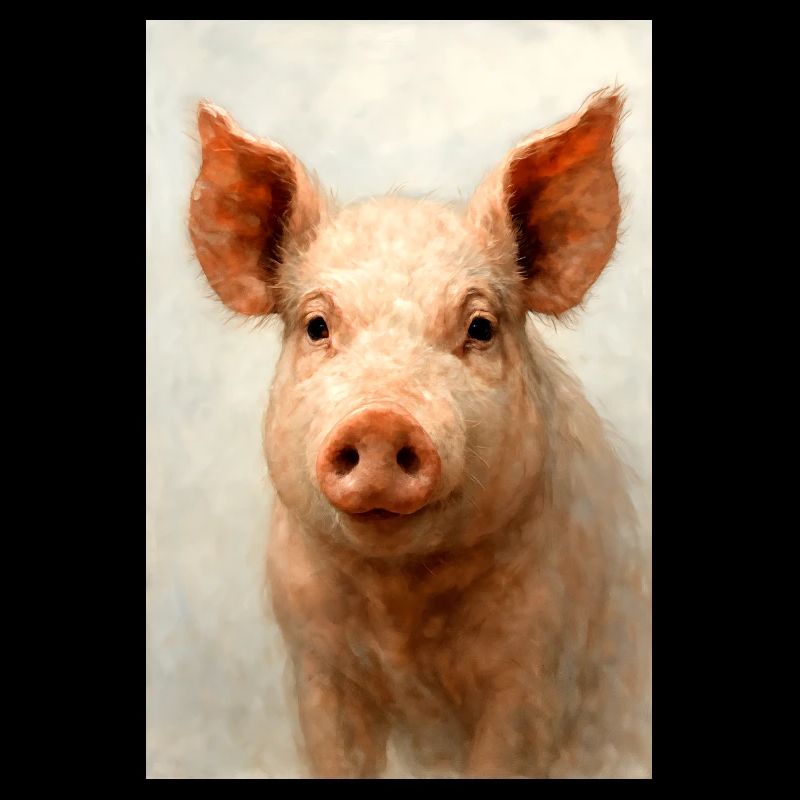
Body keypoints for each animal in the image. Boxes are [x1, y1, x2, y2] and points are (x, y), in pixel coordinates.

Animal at [187, 87, 651, 778]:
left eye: (480, 327)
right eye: (317, 325)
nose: (381, 421)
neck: (404, 612)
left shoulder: (540, 665)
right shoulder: (315, 663)